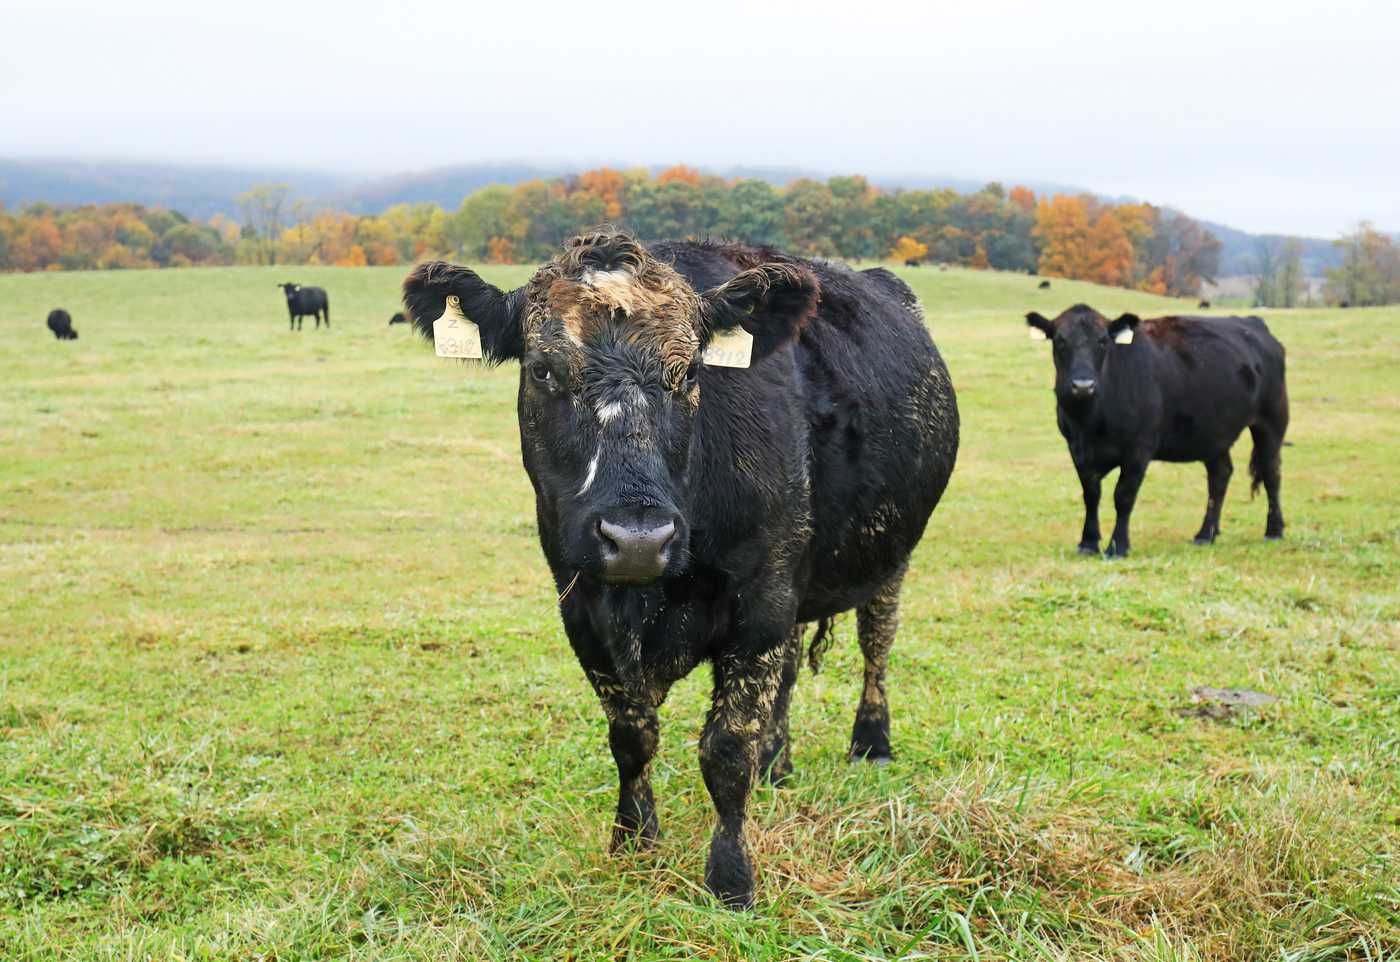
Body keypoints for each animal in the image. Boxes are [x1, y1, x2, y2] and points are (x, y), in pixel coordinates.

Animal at [402, 230, 959, 909]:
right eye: (542, 370)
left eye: (691, 370)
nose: (638, 540)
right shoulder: (581, 610)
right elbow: (632, 736)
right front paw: (633, 840)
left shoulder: (760, 605)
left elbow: (726, 748)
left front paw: (731, 878)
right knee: (789, 673)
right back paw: (777, 765)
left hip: (891, 558)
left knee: (876, 646)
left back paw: (871, 744)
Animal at [1025, 304, 1288, 556]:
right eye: (1060, 341)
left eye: (1102, 341)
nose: (1083, 386)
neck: (1090, 423)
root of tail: (1253, 322)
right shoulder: (1077, 448)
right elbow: (1091, 494)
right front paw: (1088, 543)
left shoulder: (1139, 449)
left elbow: (1123, 496)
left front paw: (1118, 546)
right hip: (1213, 434)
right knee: (1220, 475)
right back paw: (1205, 534)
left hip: (1271, 420)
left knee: (1271, 473)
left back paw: (1273, 531)